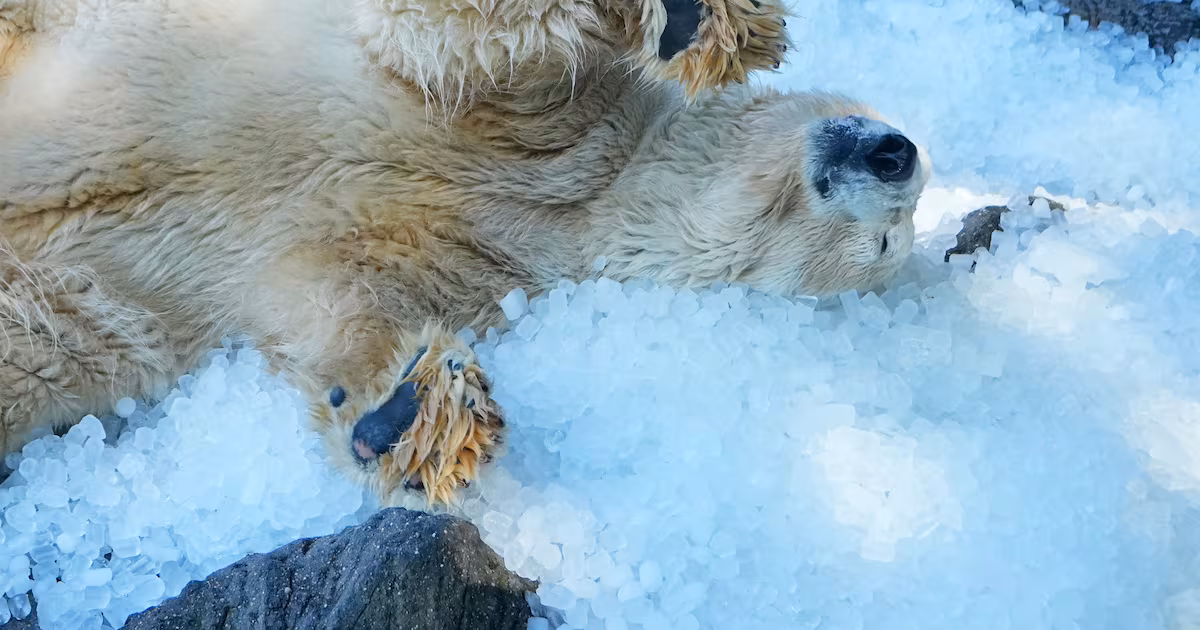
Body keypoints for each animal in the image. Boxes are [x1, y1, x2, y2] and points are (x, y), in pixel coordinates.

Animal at [0, 0, 930, 507]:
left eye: (887, 238)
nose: (898, 153)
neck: (579, 196)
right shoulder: (544, 129)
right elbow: (453, 39)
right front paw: (698, 20)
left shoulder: (481, 255)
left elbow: (338, 306)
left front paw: (413, 416)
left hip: (100, 303)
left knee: (51, 339)